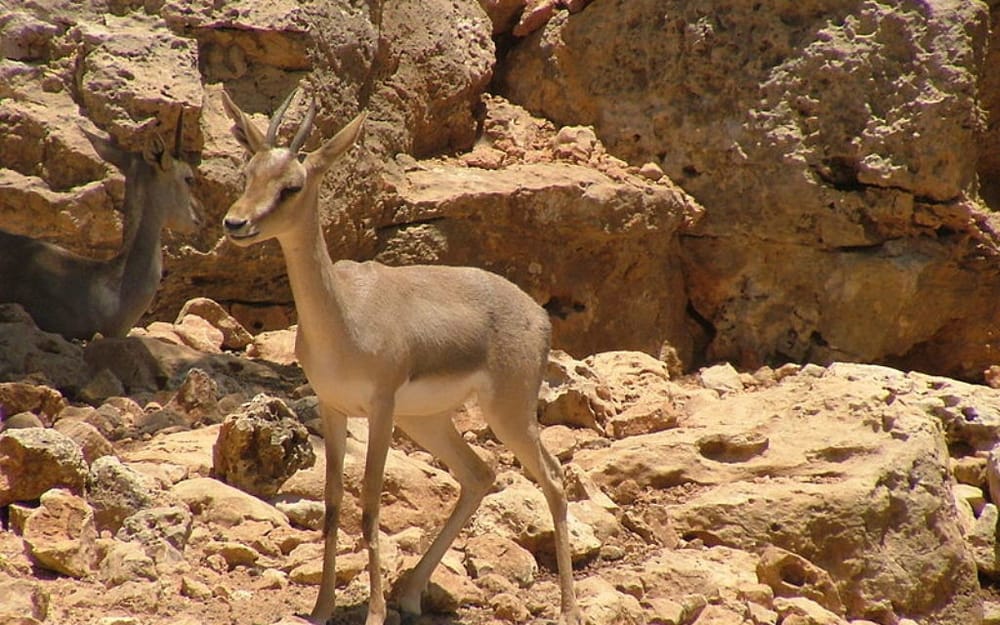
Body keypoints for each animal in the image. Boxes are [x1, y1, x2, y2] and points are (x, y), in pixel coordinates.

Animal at [220, 89, 582, 625]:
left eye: (292, 185)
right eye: (248, 172)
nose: (236, 223)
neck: (344, 317)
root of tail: (538, 313)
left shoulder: (381, 408)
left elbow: (370, 502)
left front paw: (371, 614)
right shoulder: (332, 407)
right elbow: (333, 503)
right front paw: (322, 608)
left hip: (507, 414)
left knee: (554, 479)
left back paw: (568, 609)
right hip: (427, 421)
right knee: (480, 474)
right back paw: (410, 593)